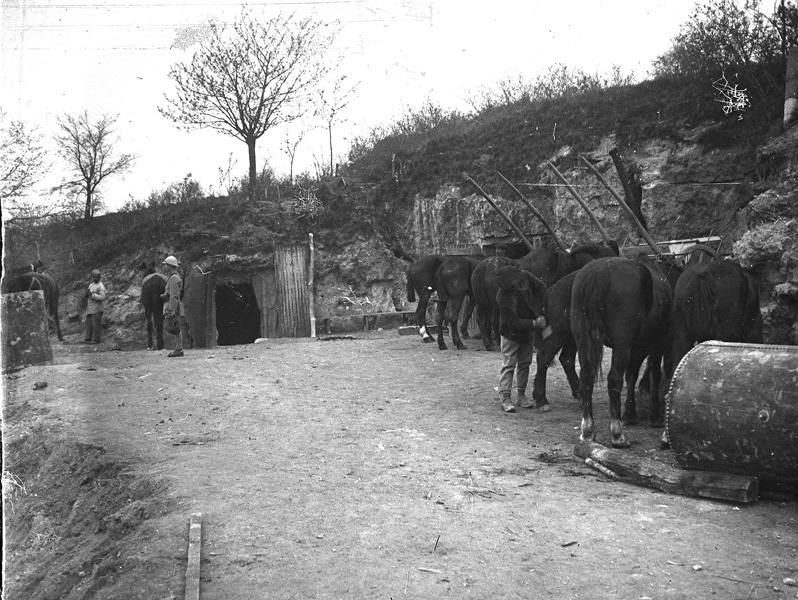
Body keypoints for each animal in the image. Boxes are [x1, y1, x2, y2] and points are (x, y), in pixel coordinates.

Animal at [568, 255, 676, 448]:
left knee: (586, 377)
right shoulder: (658, 341)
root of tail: (599, 271)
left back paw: (588, 431)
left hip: (583, 339)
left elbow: (632, 375)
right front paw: (654, 415)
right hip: (621, 344)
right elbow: (654, 373)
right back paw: (617, 434)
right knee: (614, 379)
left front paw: (630, 413)